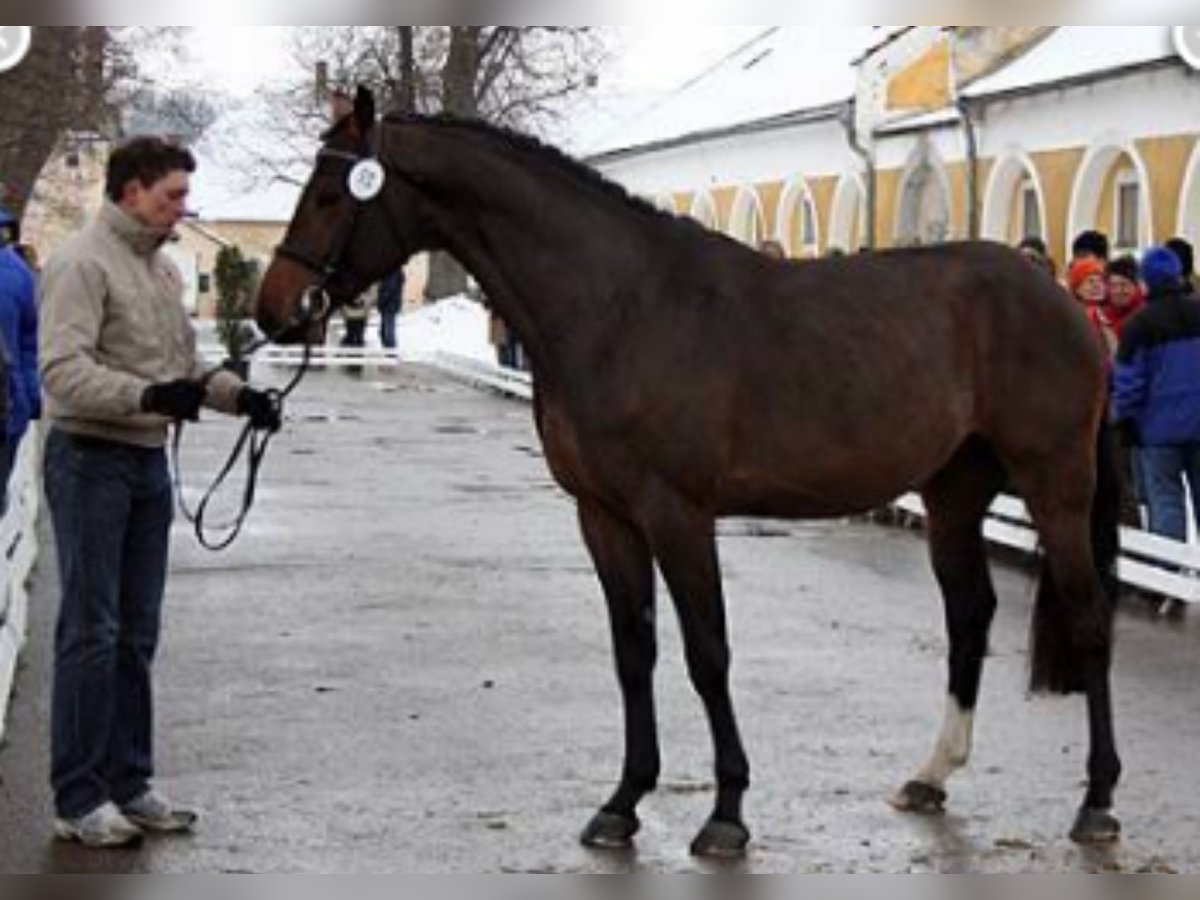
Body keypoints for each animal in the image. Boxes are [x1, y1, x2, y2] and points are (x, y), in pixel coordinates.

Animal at [255, 90, 1123, 859]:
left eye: (330, 194)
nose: (273, 310)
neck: (621, 308)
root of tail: (1056, 299)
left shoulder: (677, 513)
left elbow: (708, 653)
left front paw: (726, 814)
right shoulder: (603, 515)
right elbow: (633, 651)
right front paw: (622, 803)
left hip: (1055, 483)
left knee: (1088, 617)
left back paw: (1098, 802)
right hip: (952, 492)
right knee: (969, 615)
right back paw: (932, 776)